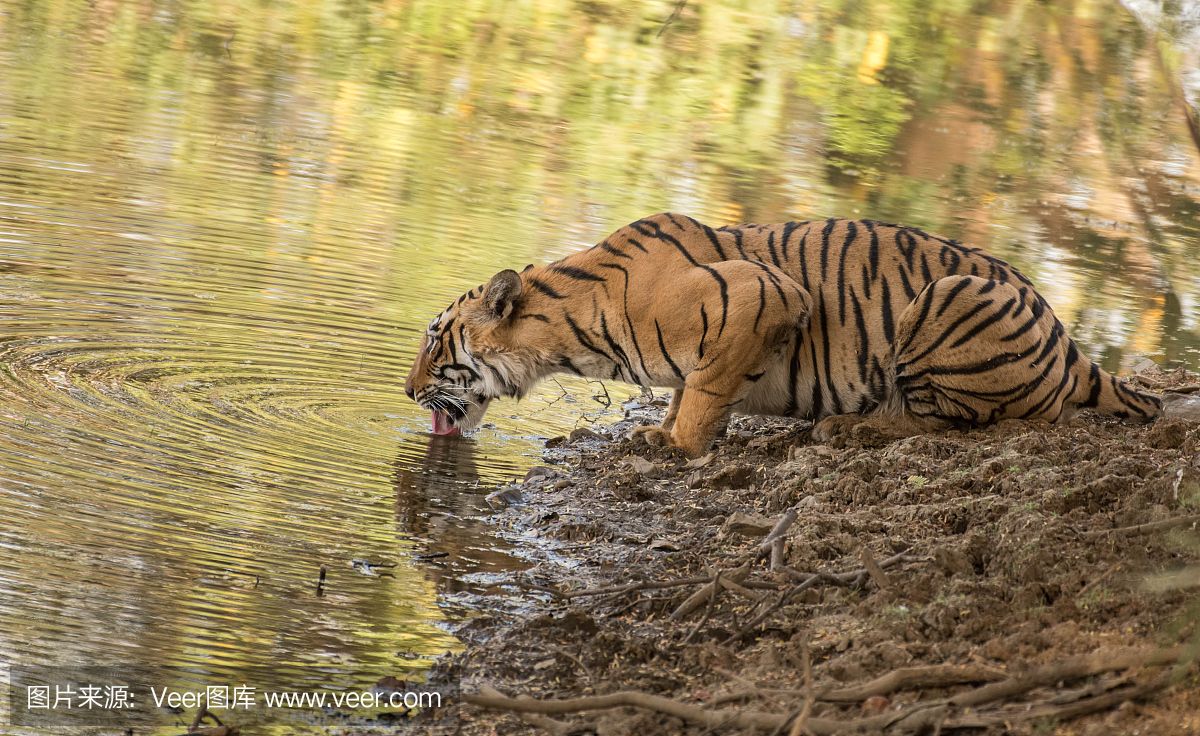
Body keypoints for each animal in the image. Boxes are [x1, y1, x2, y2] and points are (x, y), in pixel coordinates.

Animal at [403, 210, 1161, 456]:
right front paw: (658, 430)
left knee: (952, 422)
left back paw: (850, 428)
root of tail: (1073, 345)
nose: (407, 393)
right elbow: (682, 388)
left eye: (435, 342)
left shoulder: (762, 295)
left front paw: (676, 447)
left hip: (951, 295)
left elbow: (705, 386)